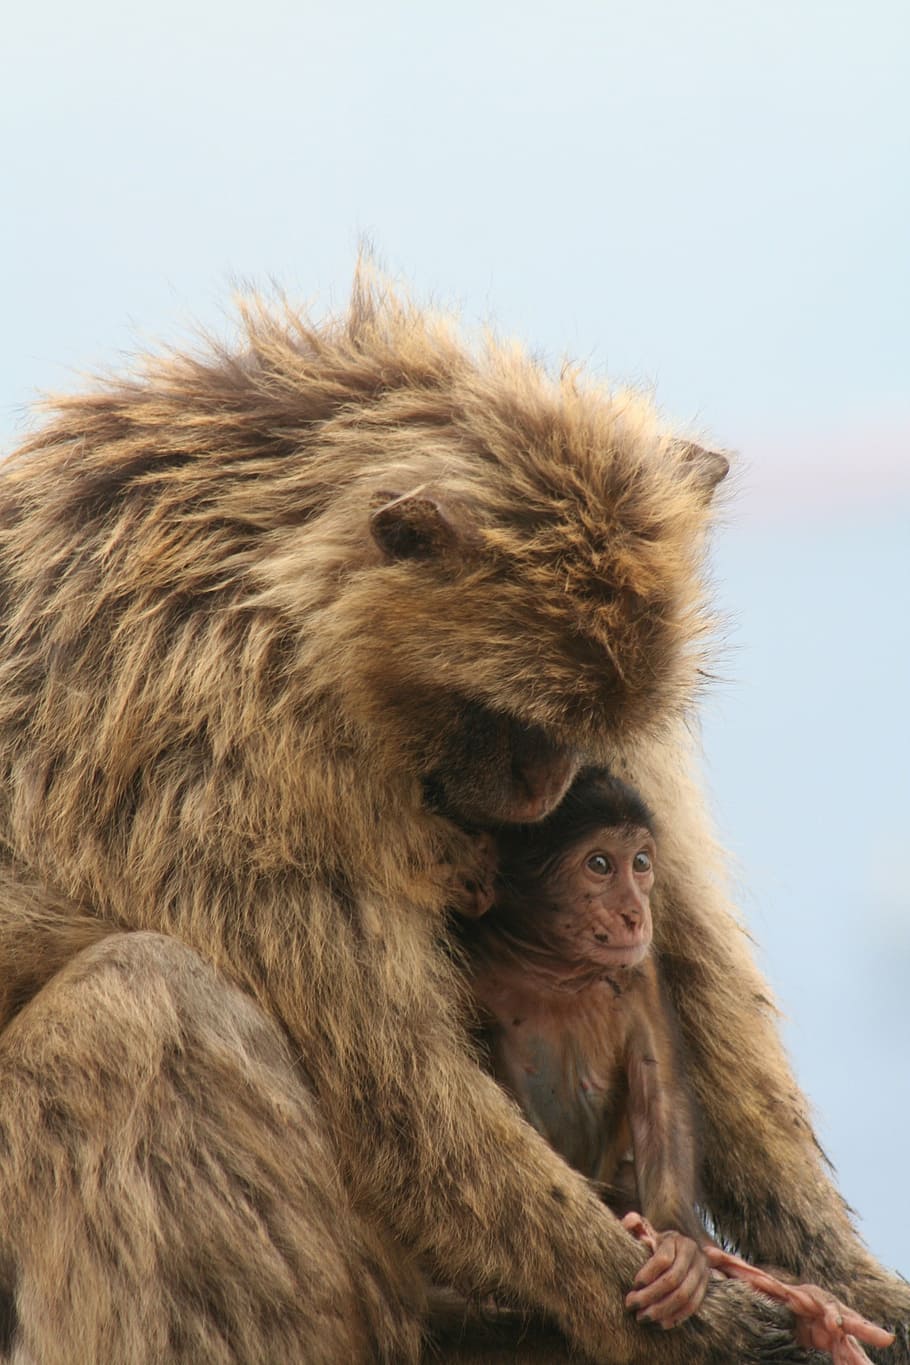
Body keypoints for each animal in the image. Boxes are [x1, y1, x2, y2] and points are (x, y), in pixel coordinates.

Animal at [0, 268, 904, 1365]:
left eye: (582, 730)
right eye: (507, 715)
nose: (543, 793)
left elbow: (684, 963)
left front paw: (835, 1273)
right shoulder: (225, 752)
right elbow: (386, 1091)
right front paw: (687, 1314)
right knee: (137, 1001)